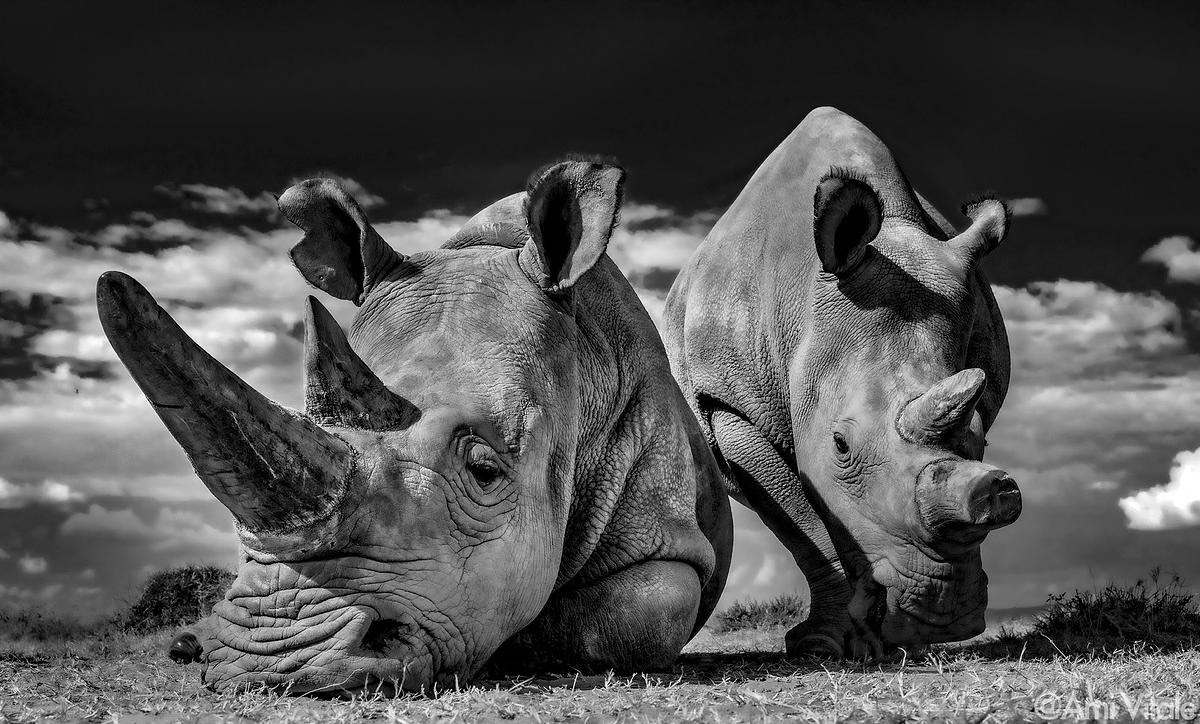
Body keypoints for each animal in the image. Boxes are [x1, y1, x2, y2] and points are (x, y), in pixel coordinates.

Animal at [663, 107, 1021, 657]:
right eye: (841, 445)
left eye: (983, 437)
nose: (940, 622)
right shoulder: (727, 402)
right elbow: (803, 521)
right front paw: (823, 645)